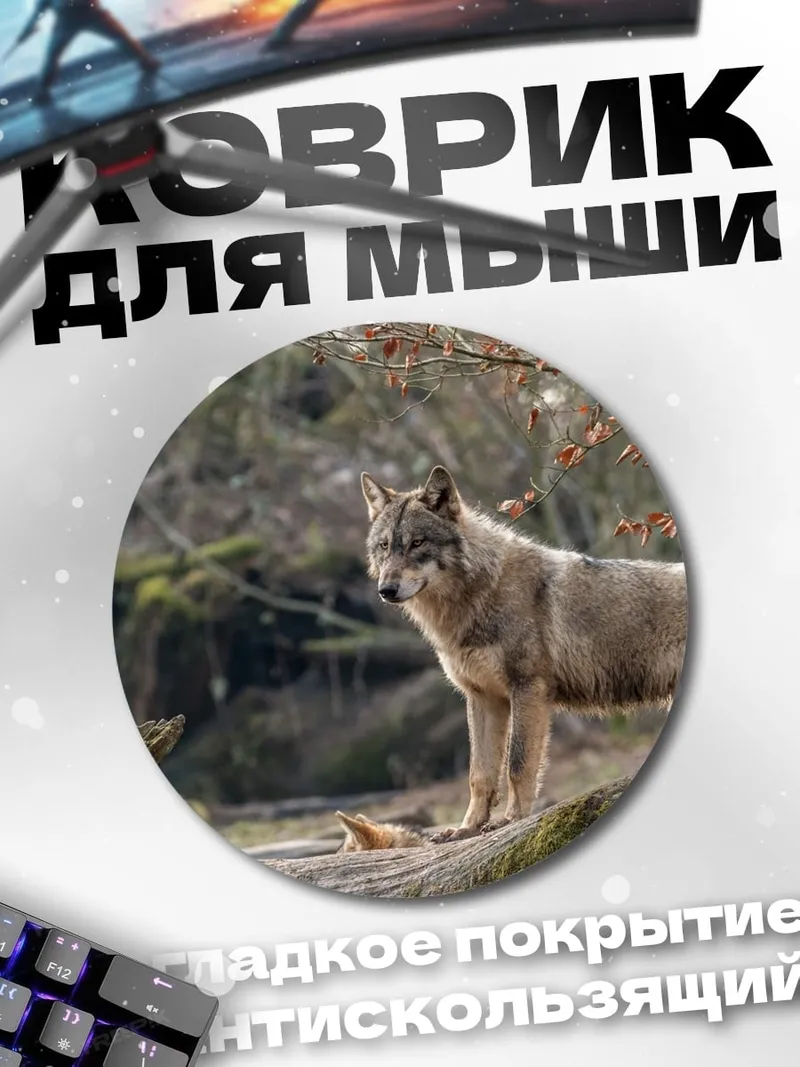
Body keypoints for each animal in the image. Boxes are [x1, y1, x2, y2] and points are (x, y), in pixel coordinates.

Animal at [360, 465, 687, 842]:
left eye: (417, 543)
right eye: (385, 546)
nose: (386, 590)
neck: (479, 595)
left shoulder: (528, 688)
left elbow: (517, 764)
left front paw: (511, 820)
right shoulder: (483, 697)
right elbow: (479, 773)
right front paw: (468, 828)